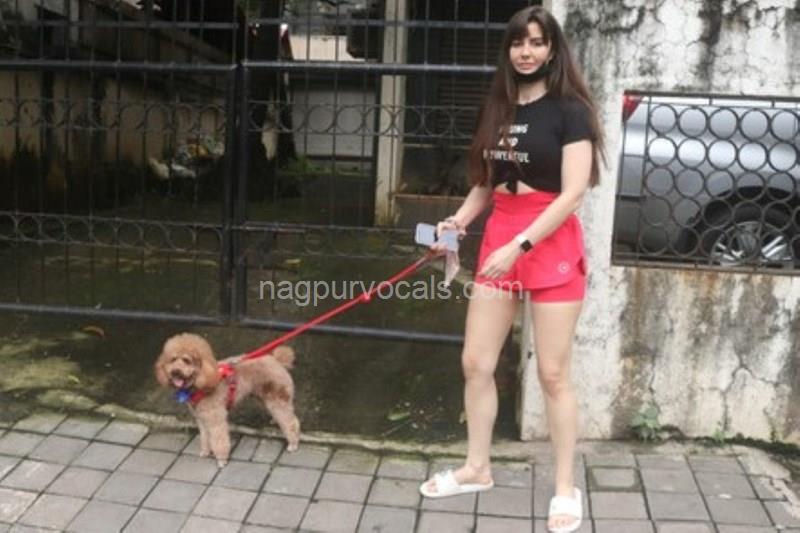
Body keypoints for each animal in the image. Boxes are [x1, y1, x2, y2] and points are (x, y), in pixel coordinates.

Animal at [154, 333, 300, 466]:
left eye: (187, 360)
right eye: (172, 360)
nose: (175, 372)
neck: (201, 384)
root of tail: (277, 360)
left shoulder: (216, 418)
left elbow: (219, 439)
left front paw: (221, 460)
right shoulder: (202, 418)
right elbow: (205, 436)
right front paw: (206, 452)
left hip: (277, 398)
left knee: (291, 422)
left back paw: (293, 443)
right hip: (267, 397)